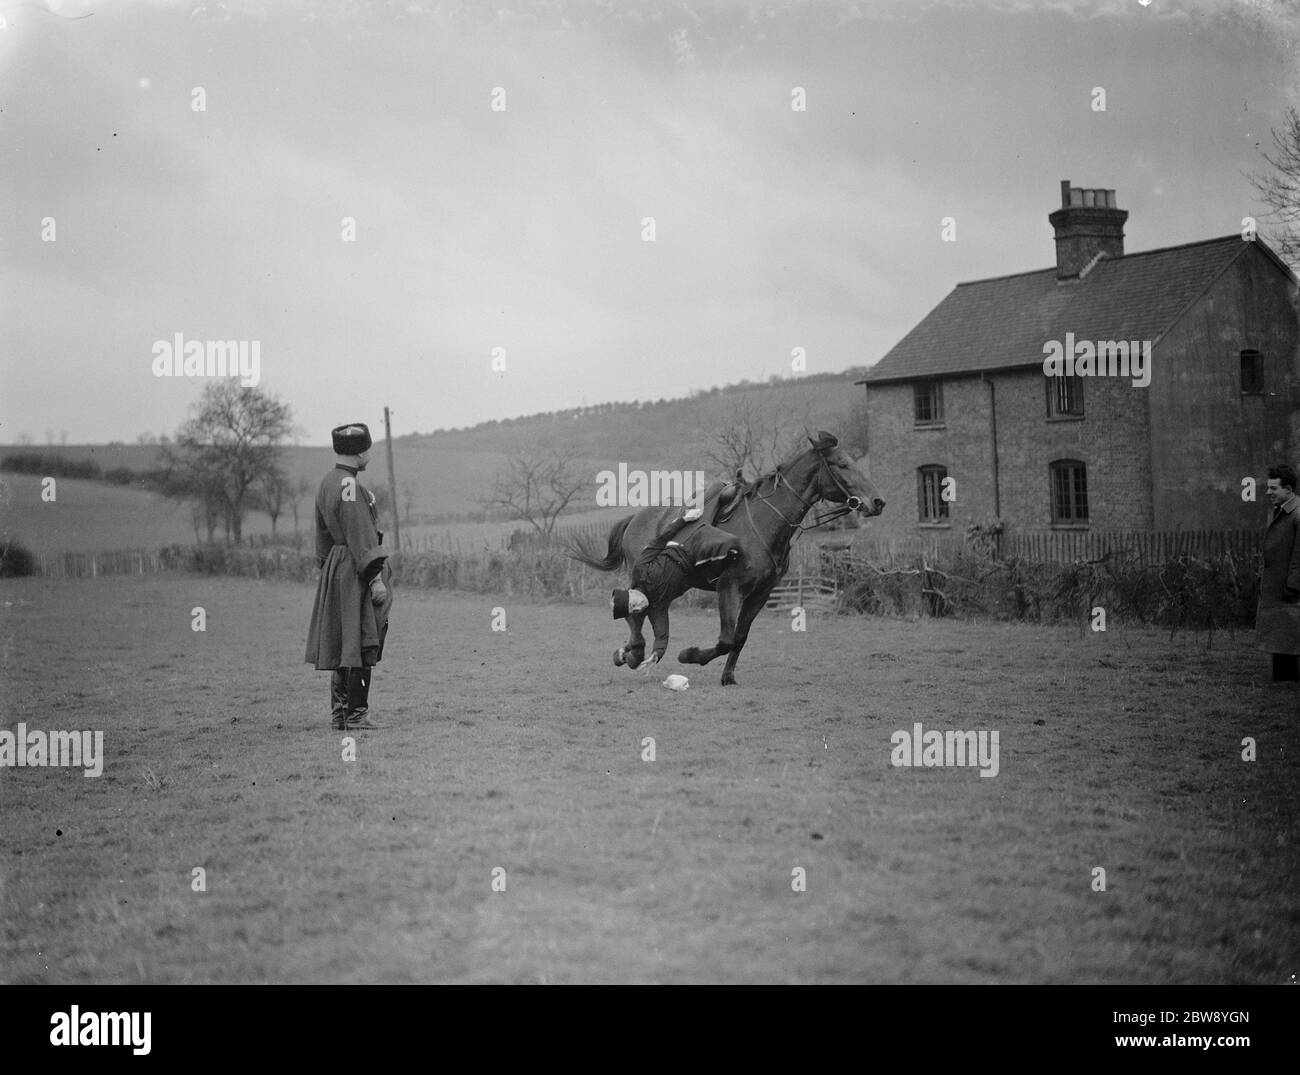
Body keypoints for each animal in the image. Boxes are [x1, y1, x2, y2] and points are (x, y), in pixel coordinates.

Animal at [569, 434, 883, 686]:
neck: (765, 522)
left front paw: (727, 676)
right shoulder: (729, 587)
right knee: (636, 612)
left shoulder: (760, 594)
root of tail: (636, 517)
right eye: (842, 465)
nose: (877, 501)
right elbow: (726, 638)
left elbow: (740, 637)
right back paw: (632, 652)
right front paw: (690, 655)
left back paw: (633, 652)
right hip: (645, 575)